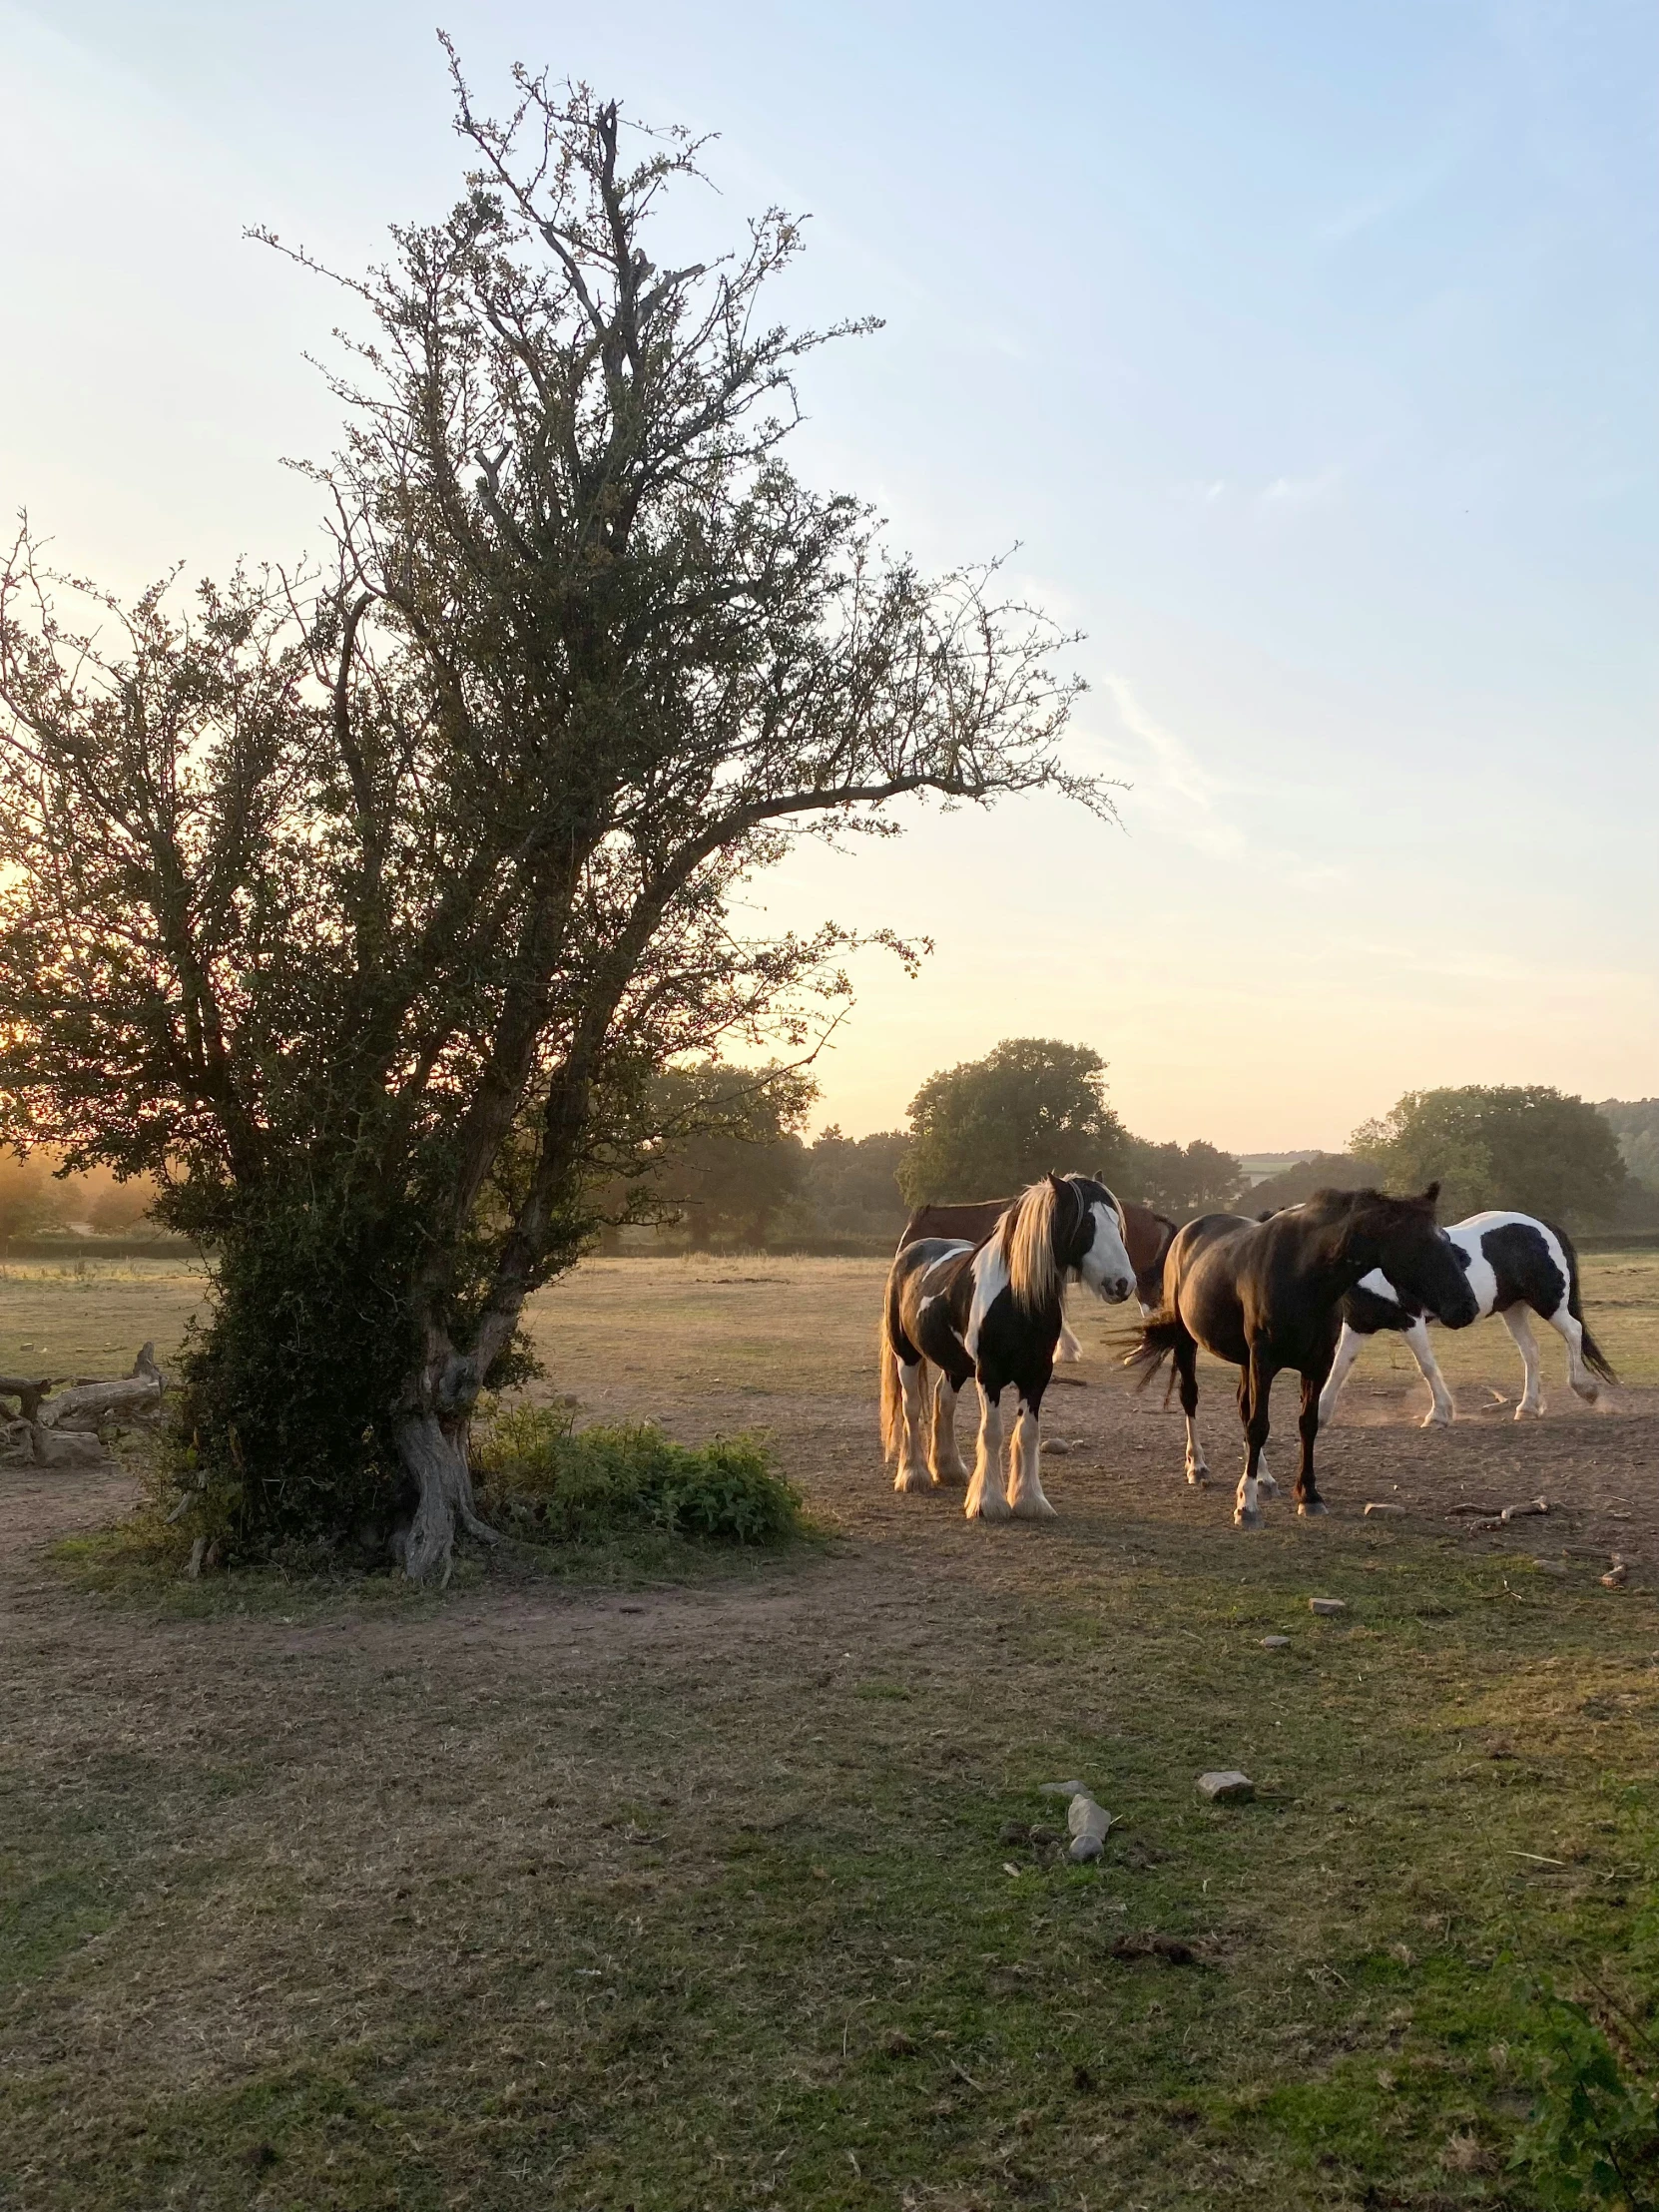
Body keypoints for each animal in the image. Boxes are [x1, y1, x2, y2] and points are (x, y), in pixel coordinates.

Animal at [875, 1176, 1141, 1521]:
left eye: (1116, 1222)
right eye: (1086, 1222)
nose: (1123, 1283)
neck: (1015, 1298)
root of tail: (911, 1250)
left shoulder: (1037, 1375)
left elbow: (1027, 1433)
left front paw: (1030, 1501)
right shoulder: (989, 1374)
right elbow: (992, 1432)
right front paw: (989, 1502)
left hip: (955, 1365)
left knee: (943, 1400)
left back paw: (948, 1469)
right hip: (906, 1355)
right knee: (912, 1407)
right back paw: (913, 1475)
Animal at [1132, 1185, 1477, 1530]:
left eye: (1447, 1241)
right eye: (1421, 1244)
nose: (1467, 1307)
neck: (1303, 1276)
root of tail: (1186, 1232)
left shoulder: (1316, 1364)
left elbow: (1306, 1423)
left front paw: (1308, 1495)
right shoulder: (1264, 1361)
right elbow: (1259, 1425)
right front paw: (1246, 1506)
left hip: (1244, 1358)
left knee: (1243, 1405)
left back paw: (1264, 1478)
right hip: (1187, 1340)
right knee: (1190, 1397)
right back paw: (1198, 1466)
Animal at [1318, 1212, 1619, 1432]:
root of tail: (1542, 1226)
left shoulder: (1410, 1320)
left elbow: (1427, 1366)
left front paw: (1438, 1415)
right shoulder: (1359, 1324)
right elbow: (1339, 1367)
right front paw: (1319, 1415)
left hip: (1549, 1302)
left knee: (1573, 1331)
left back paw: (1585, 1389)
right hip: (1514, 1309)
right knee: (1531, 1352)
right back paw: (1528, 1408)